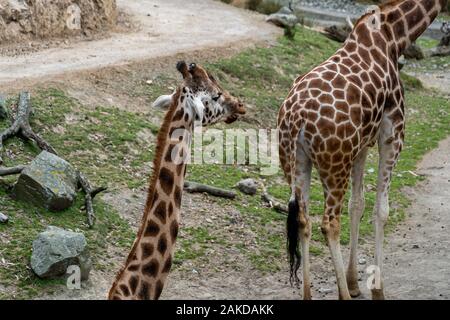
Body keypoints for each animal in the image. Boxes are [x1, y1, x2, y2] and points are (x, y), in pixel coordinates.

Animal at [278, 0, 446, 300]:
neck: (394, 36)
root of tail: (296, 118)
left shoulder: (362, 144)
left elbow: (357, 205)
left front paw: (355, 282)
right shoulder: (392, 132)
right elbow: (381, 210)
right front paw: (377, 288)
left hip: (296, 163)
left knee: (303, 220)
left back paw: (309, 293)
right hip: (334, 165)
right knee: (329, 223)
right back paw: (342, 295)